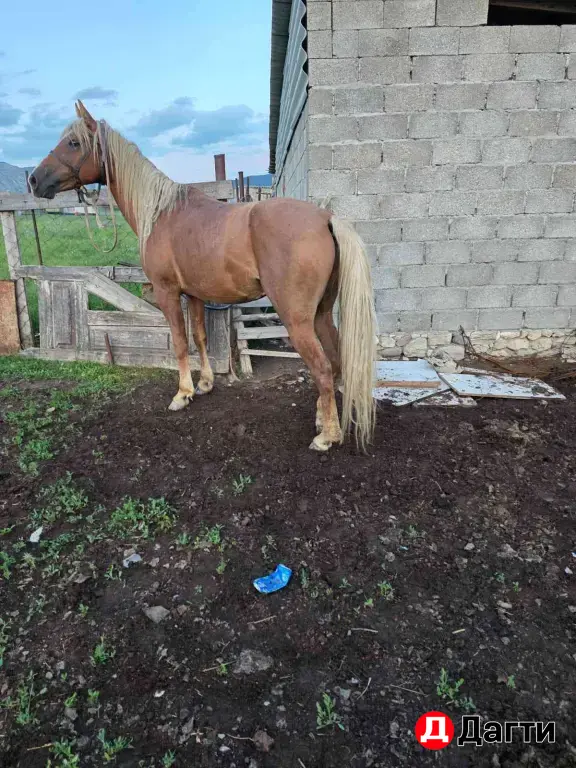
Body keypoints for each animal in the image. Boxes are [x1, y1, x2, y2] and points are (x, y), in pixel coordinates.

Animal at [29, 100, 376, 452]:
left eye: (73, 143)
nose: (33, 180)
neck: (161, 213)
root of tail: (326, 218)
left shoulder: (168, 292)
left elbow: (181, 343)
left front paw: (183, 394)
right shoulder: (194, 294)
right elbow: (199, 337)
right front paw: (206, 383)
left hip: (297, 319)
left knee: (321, 368)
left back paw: (326, 436)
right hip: (321, 314)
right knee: (335, 361)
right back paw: (323, 419)